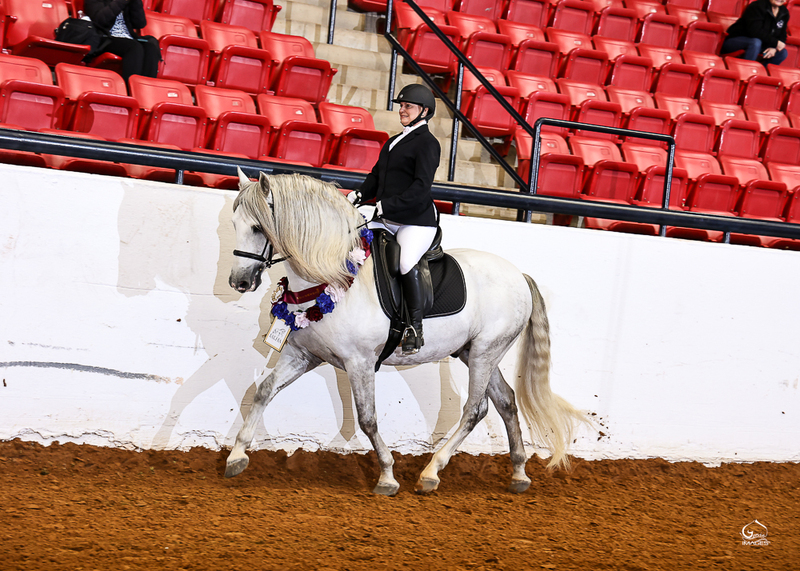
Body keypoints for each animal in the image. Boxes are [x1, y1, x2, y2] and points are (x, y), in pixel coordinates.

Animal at [225, 169, 587, 495]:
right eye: (234, 225)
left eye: (257, 227)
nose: (239, 282)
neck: (330, 277)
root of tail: (519, 275)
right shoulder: (303, 356)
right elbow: (263, 390)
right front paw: (236, 456)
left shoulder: (359, 362)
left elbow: (367, 419)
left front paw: (387, 476)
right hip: (475, 352)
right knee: (506, 402)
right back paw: (519, 474)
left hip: (486, 351)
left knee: (475, 409)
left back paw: (431, 473)